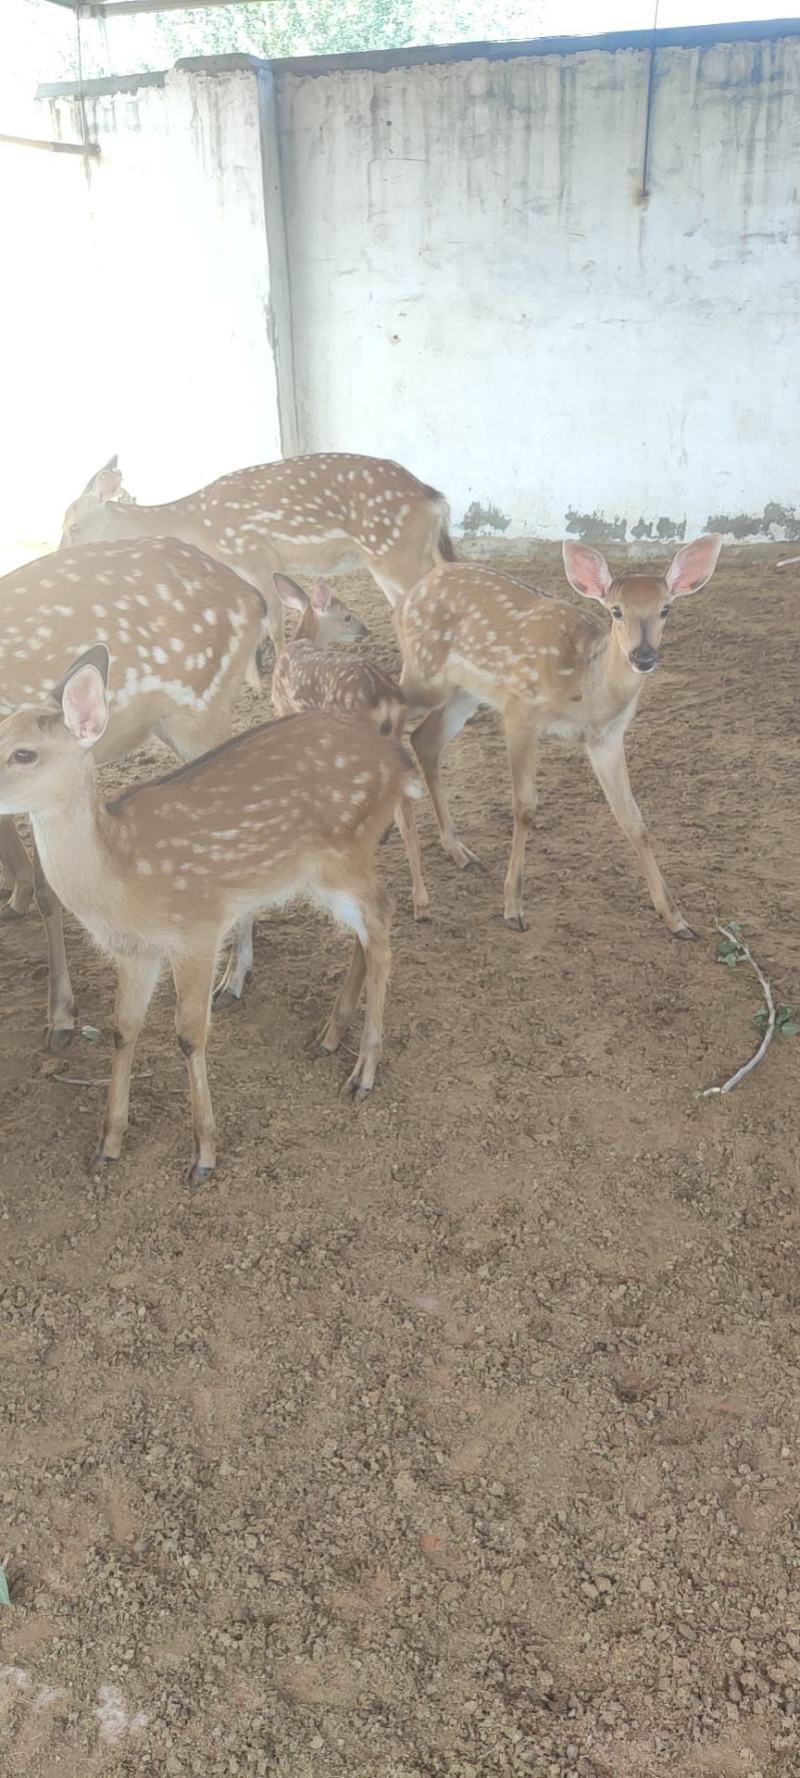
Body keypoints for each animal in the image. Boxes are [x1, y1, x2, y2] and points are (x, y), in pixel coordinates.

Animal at [0, 649, 418, 1185]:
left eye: (24, 754)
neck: (122, 877)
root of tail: (399, 762)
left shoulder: (196, 928)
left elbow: (188, 1034)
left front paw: (204, 1154)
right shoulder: (136, 952)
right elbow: (122, 1028)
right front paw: (108, 1144)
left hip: (345, 854)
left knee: (383, 922)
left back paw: (363, 1073)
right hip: (332, 870)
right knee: (365, 933)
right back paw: (328, 1037)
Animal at [61, 452, 456, 653]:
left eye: (73, 527)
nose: (61, 556)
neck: (199, 526)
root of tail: (433, 498)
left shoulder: (255, 556)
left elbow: (276, 624)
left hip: (399, 550)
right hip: (384, 558)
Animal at [394, 534, 722, 935]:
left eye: (666, 609)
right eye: (616, 611)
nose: (643, 656)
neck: (586, 691)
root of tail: (416, 589)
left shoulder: (606, 738)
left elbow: (633, 819)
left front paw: (675, 918)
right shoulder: (520, 710)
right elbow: (524, 808)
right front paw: (513, 908)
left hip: (464, 692)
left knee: (424, 741)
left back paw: (459, 851)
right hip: (423, 672)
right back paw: (417, 890)